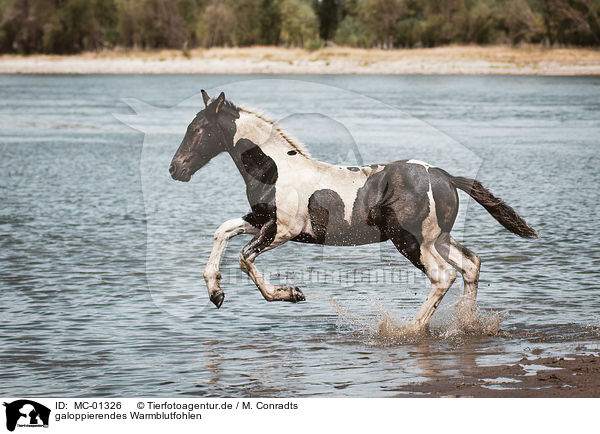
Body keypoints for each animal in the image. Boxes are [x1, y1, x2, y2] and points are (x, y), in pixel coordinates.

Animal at [170, 90, 540, 328]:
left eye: (197, 129)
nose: (176, 169)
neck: (275, 169)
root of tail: (445, 177)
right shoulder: (261, 220)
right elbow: (222, 231)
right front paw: (216, 292)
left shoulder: (283, 230)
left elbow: (245, 258)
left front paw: (290, 294)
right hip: (439, 239)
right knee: (470, 265)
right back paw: (466, 323)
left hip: (410, 240)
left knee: (442, 276)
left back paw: (411, 330)